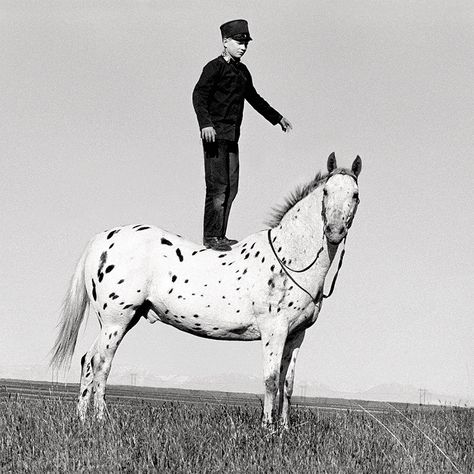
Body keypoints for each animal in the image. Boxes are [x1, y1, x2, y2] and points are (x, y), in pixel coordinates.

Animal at [51, 154, 362, 428]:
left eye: (355, 195)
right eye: (326, 192)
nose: (334, 231)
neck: (289, 258)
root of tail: (102, 239)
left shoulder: (296, 335)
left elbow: (287, 384)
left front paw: (284, 429)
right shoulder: (274, 331)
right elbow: (271, 381)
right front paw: (268, 429)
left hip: (120, 321)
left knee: (87, 360)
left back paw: (83, 421)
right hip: (117, 320)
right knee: (101, 363)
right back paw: (101, 421)